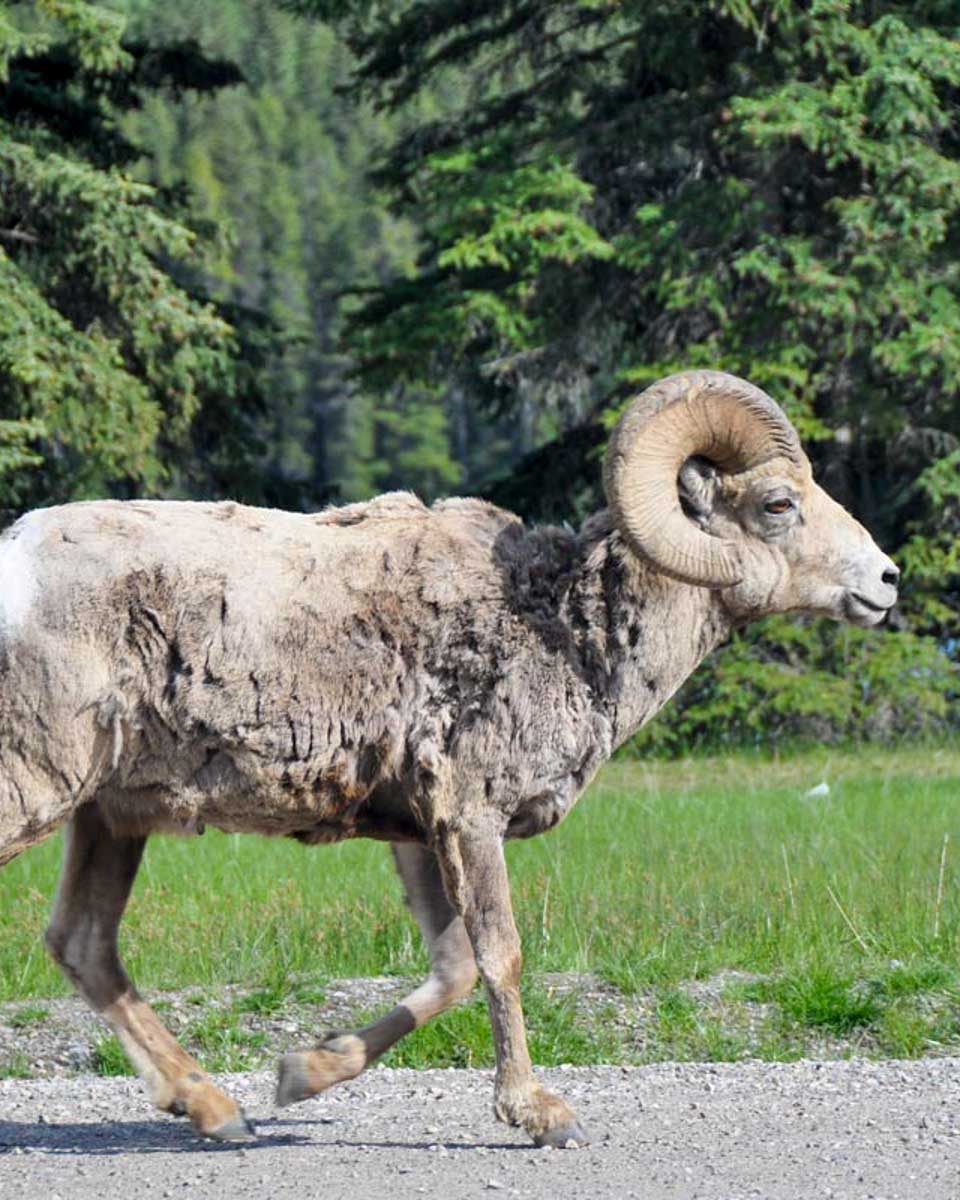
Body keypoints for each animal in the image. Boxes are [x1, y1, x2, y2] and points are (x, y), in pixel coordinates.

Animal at [0, 371, 898, 1147]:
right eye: (779, 503)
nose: (887, 581)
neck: (561, 625)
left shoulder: (418, 831)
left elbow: (453, 969)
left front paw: (301, 1075)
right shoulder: (472, 818)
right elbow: (500, 955)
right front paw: (540, 1115)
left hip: (109, 817)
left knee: (85, 945)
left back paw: (217, 1110)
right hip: (40, 790)